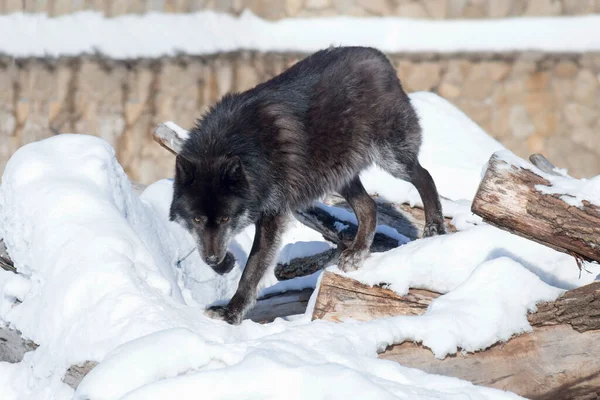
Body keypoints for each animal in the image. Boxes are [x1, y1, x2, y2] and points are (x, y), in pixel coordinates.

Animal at [170, 46, 446, 324]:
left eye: (226, 219)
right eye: (197, 219)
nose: (212, 257)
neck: (238, 148)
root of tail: (379, 56)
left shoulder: (272, 215)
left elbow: (252, 269)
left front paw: (231, 313)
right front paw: (224, 265)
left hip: (390, 157)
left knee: (425, 176)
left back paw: (434, 227)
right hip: (340, 174)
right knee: (369, 207)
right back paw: (357, 252)